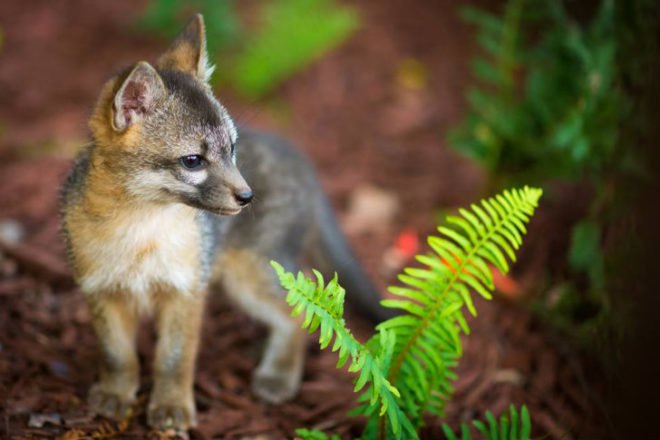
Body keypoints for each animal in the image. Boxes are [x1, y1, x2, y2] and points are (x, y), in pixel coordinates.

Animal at [60, 14, 392, 431]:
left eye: (231, 149)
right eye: (192, 161)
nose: (248, 196)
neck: (141, 232)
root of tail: (298, 156)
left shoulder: (187, 290)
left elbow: (174, 360)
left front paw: (171, 407)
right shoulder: (100, 291)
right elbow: (117, 356)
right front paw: (116, 395)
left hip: (249, 277)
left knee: (299, 316)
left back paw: (278, 376)